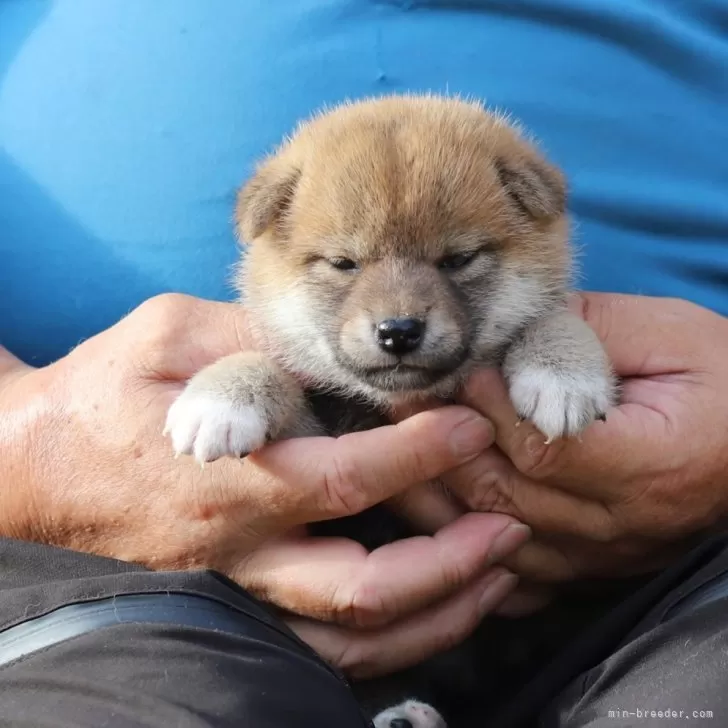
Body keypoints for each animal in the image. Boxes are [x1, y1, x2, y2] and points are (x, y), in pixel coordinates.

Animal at [164, 94, 616, 724]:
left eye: (457, 259)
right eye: (343, 263)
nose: (398, 330)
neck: (400, 403)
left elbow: (553, 316)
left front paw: (562, 372)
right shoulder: (323, 429)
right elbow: (273, 369)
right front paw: (221, 396)